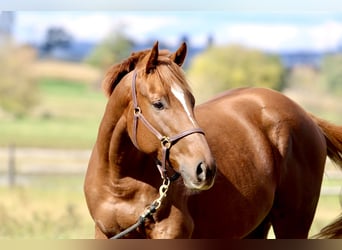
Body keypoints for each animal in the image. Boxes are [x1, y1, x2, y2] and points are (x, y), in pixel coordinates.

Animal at [85, 41, 342, 238]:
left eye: (191, 100)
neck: (120, 182)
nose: (205, 168)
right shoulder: (106, 233)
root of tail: (306, 115)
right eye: (158, 103)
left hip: (292, 223)